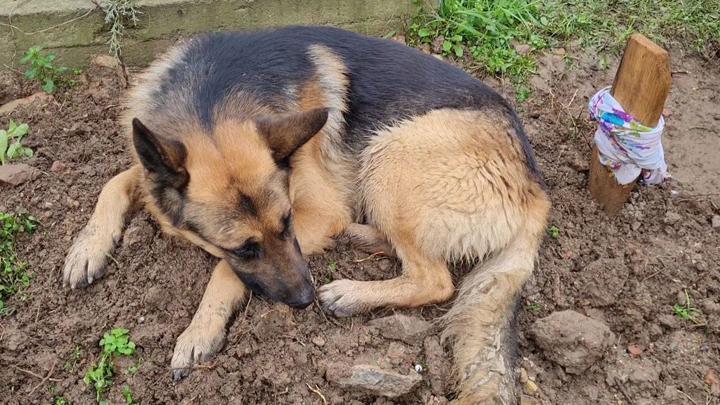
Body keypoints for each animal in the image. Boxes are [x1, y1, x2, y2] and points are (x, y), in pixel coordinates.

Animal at [63, 26, 544, 402]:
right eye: (246, 247)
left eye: (288, 223)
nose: (304, 299)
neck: (211, 95)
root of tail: (538, 192)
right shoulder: (153, 171)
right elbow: (113, 183)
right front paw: (86, 248)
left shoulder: (320, 214)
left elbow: (222, 271)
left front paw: (199, 331)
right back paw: (362, 235)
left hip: (392, 152)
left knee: (435, 280)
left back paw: (351, 292)